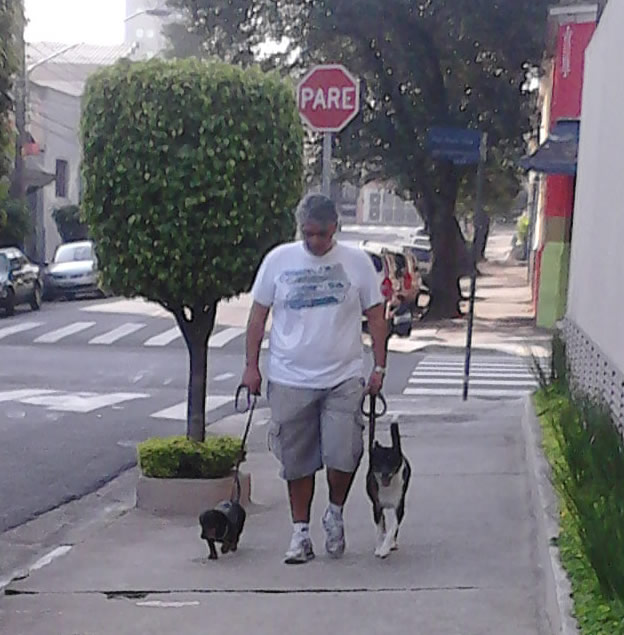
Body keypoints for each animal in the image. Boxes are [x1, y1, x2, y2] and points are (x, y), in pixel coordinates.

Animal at [364, 424, 412, 560]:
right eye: (378, 462)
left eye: (391, 461)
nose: (385, 473)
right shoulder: (377, 506)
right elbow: (379, 529)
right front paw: (379, 547)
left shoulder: (399, 508)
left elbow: (393, 529)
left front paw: (385, 549)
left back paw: (392, 544)